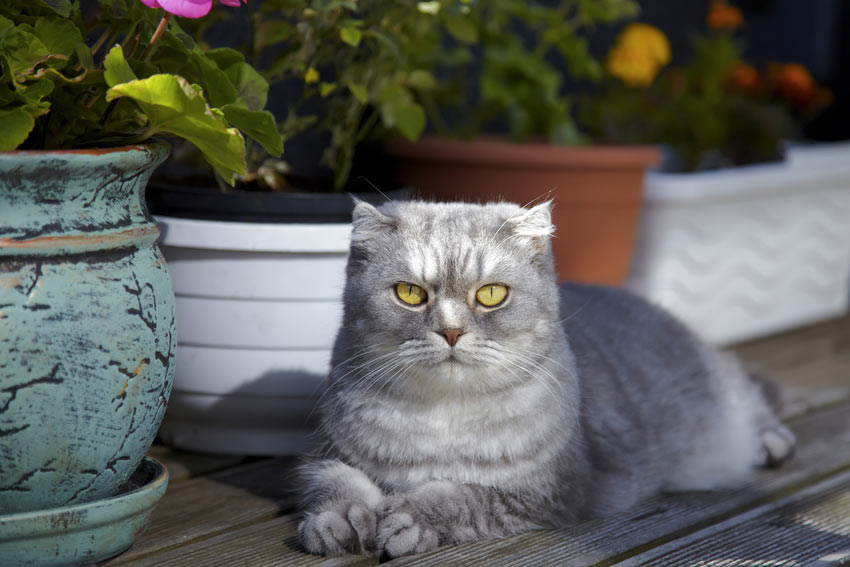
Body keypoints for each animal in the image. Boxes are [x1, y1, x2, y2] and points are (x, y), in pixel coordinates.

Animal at [294, 199, 796, 560]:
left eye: (490, 294)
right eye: (410, 293)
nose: (451, 331)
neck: (442, 413)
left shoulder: (544, 492)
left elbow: (461, 496)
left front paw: (411, 516)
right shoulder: (325, 451)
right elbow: (332, 481)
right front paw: (337, 520)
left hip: (721, 391)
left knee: (752, 396)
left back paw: (771, 441)